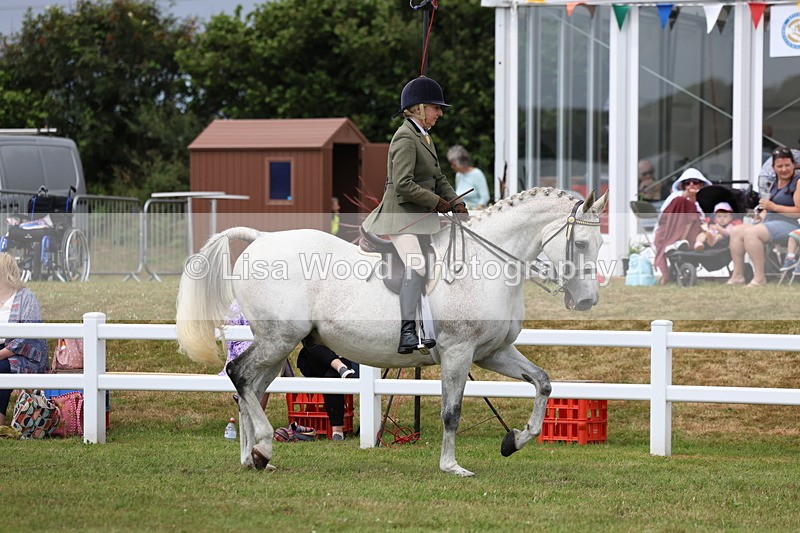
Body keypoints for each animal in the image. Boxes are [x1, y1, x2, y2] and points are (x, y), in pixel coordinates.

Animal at [176, 187, 608, 477]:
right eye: (581, 244)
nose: (587, 301)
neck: (486, 262)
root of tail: (261, 239)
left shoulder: (491, 353)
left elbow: (543, 382)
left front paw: (513, 441)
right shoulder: (458, 352)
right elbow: (452, 412)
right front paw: (451, 466)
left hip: (277, 344)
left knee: (250, 387)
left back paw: (254, 457)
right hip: (277, 339)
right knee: (240, 376)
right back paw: (262, 447)